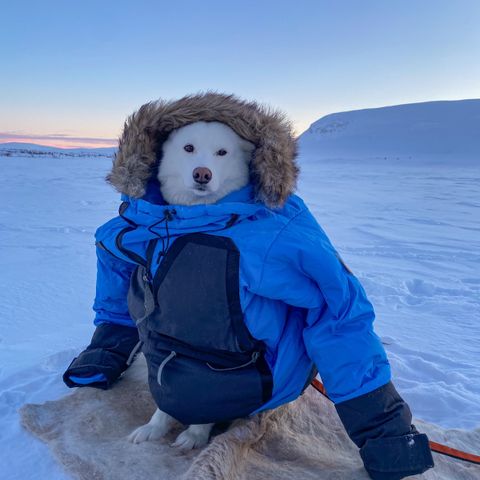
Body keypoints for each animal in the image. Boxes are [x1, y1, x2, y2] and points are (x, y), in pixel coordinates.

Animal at [126, 121, 255, 450]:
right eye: (188, 148)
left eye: (222, 152)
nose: (202, 174)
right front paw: (154, 427)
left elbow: (207, 396)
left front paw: (196, 435)